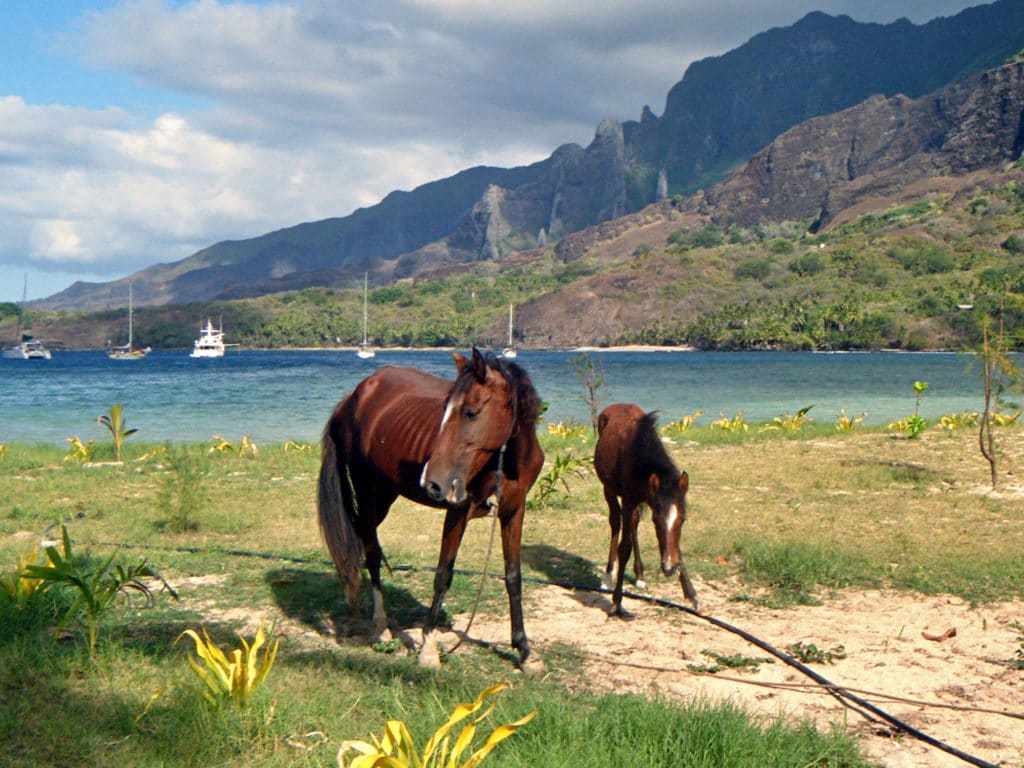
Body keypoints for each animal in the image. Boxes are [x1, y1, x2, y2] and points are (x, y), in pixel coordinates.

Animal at [317, 352, 544, 671]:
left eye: (470, 413)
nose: (432, 482)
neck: (502, 463)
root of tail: (353, 397)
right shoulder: (457, 512)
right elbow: (443, 575)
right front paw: (427, 646)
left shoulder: (514, 512)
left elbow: (513, 578)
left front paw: (524, 650)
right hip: (368, 491)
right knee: (370, 548)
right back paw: (380, 624)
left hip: (386, 493)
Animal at [598, 405, 700, 618]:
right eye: (656, 521)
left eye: (682, 520)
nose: (668, 568)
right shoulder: (629, 500)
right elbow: (624, 547)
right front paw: (616, 602)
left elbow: (675, 546)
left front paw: (693, 596)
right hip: (609, 489)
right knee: (615, 522)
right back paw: (608, 575)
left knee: (633, 523)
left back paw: (640, 575)